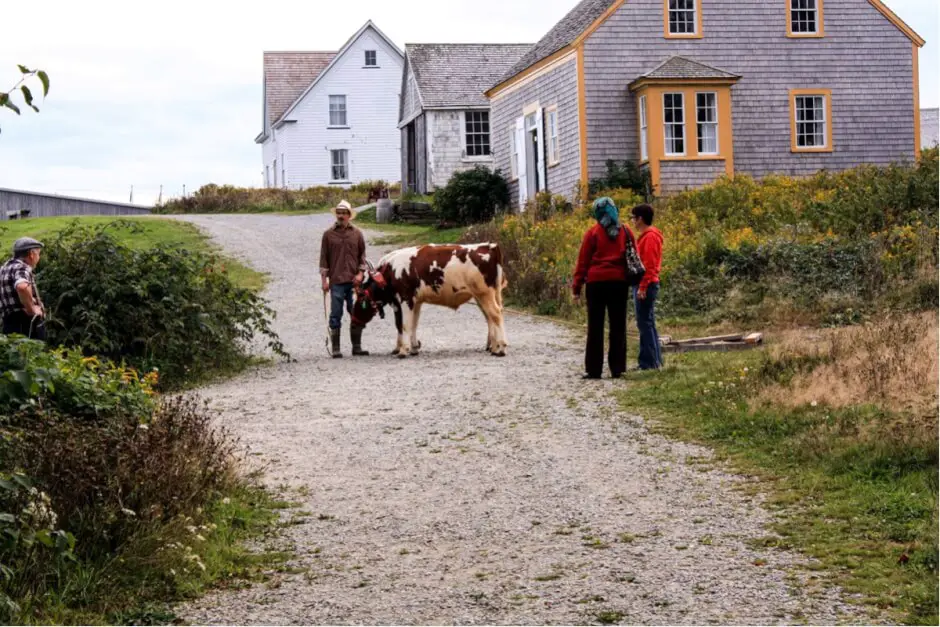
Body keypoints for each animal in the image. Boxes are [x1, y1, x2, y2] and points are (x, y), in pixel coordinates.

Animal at [352, 242, 510, 358]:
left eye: (360, 301)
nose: (353, 320)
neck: (390, 270)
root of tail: (489, 246)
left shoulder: (405, 299)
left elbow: (404, 325)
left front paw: (403, 351)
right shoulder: (415, 301)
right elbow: (413, 324)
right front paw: (413, 348)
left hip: (484, 294)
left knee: (495, 315)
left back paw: (501, 349)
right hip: (486, 295)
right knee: (491, 317)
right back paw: (494, 347)